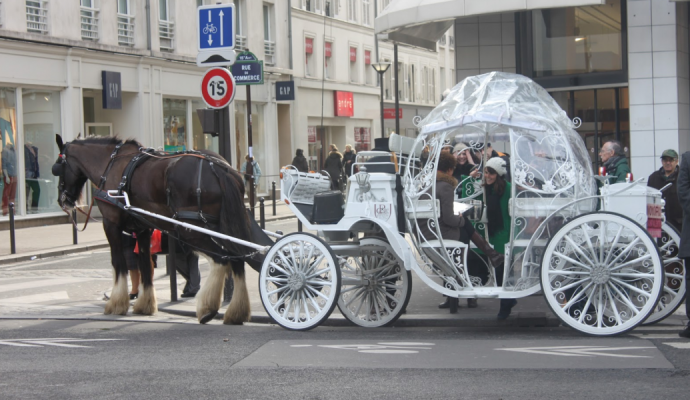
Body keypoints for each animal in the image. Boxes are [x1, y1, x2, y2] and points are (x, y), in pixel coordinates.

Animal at [49, 134, 256, 324]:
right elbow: (145, 265)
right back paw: (236, 313)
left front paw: (117, 303)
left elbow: (118, 263)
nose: (62, 200)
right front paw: (145, 305)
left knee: (223, 259)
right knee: (237, 259)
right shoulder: (142, 228)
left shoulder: (110, 224)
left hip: (193, 230)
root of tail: (220, 169)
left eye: (57, 167)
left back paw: (208, 308)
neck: (111, 164)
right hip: (221, 227)